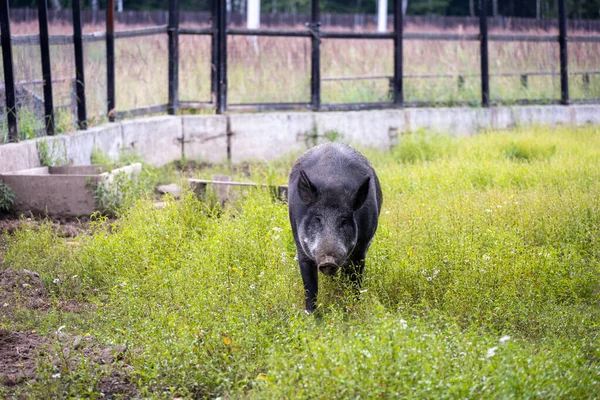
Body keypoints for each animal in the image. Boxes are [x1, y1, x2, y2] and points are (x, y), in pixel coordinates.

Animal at [288, 143, 382, 312]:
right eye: (317, 219)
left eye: (344, 221)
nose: (328, 261)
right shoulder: (301, 248)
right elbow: (310, 287)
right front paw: (311, 314)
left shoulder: (361, 251)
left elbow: (355, 282)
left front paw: (351, 307)